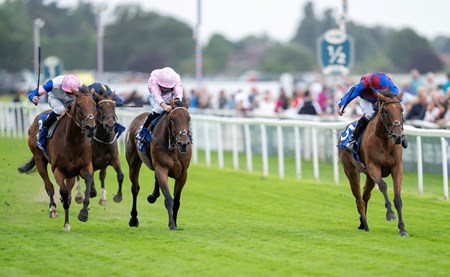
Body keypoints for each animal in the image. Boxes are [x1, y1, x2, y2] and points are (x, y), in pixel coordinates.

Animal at [19, 87, 97, 230]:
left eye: (94, 105)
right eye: (79, 105)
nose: (90, 128)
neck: (72, 141)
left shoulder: (85, 167)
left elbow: (88, 181)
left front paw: (83, 213)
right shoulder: (58, 170)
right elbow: (63, 191)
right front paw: (62, 204)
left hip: (71, 173)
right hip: (39, 158)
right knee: (48, 185)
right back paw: (53, 209)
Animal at [125, 98, 192, 230]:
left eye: (189, 119)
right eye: (173, 119)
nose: (183, 144)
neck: (173, 148)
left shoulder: (183, 174)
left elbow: (177, 201)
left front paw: (175, 222)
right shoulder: (162, 168)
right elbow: (169, 199)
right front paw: (172, 224)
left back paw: (152, 196)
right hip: (133, 163)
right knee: (135, 189)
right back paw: (134, 219)